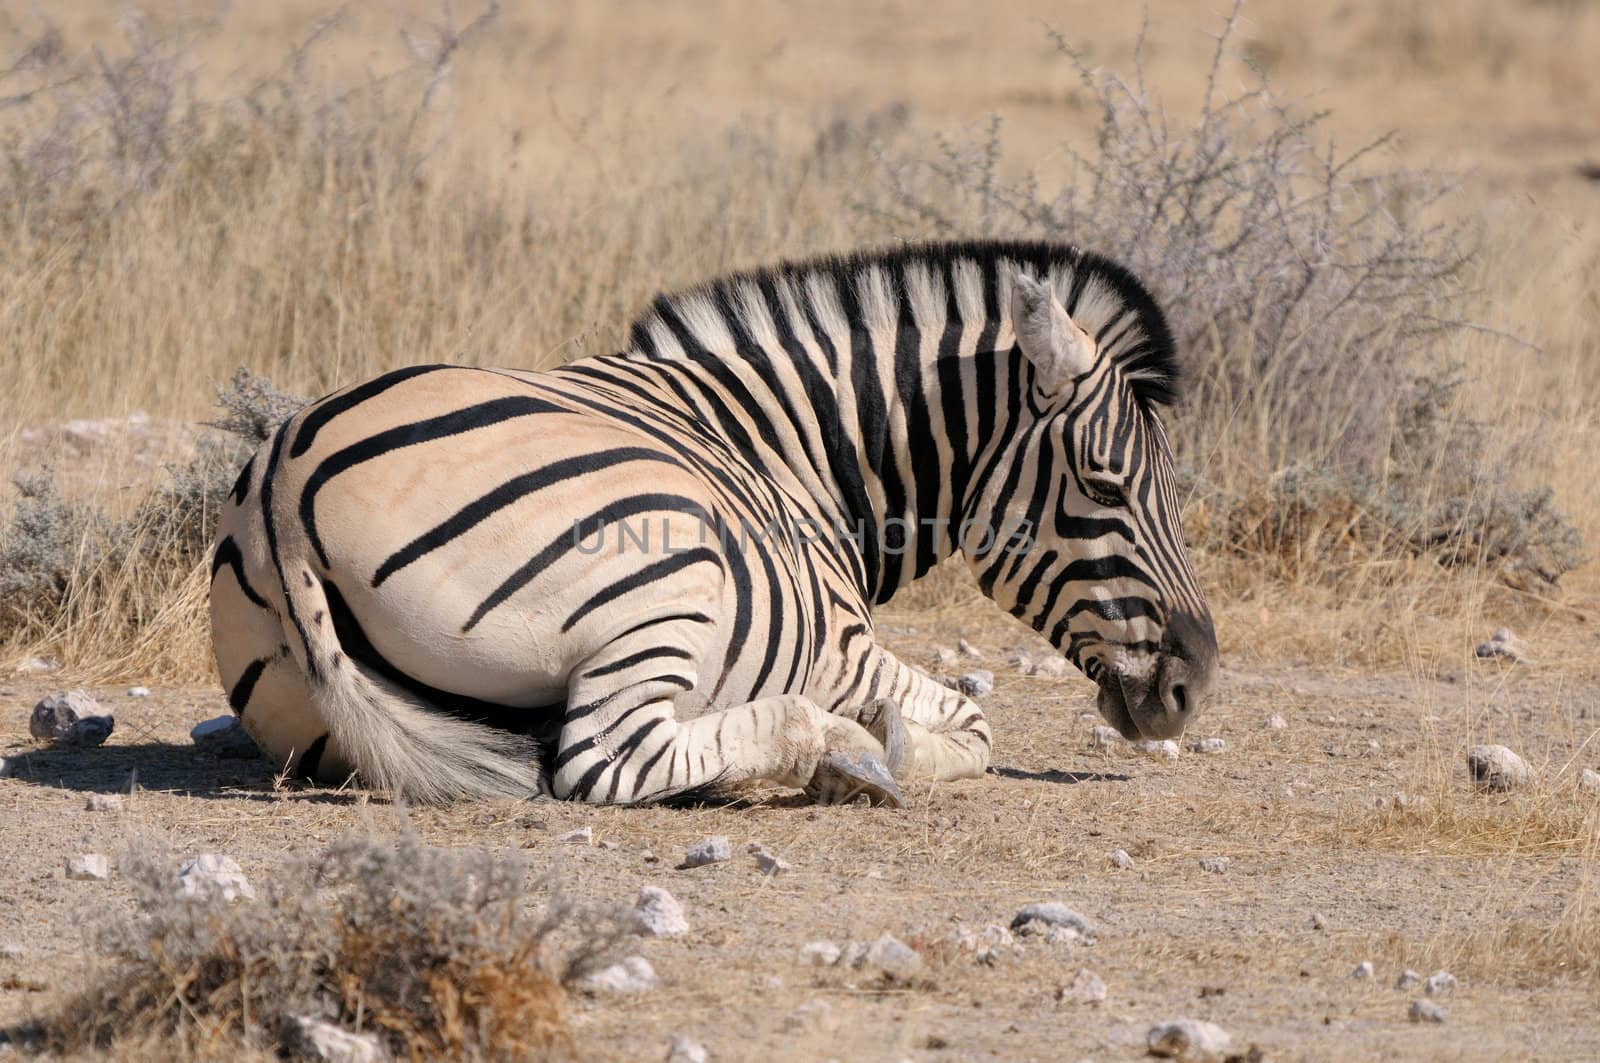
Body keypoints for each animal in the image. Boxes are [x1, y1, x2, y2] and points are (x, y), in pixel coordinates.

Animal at [209, 238, 1209, 806]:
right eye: (1104, 484)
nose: (1193, 684)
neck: (792, 449)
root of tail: (285, 486)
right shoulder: (843, 648)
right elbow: (974, 724)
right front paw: (883, 743)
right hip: (669, 558)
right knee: (604, 761)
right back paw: (837, 752)